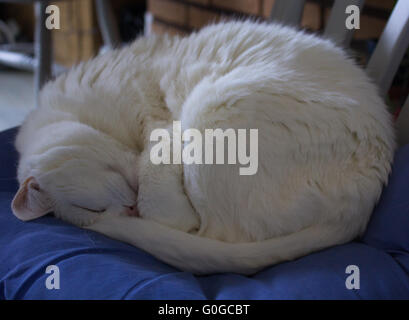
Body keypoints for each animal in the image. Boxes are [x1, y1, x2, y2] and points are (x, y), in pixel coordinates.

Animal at [9, 20, 394, 276]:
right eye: (94, 211)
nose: (129, 206)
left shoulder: (159, 129)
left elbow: (158, 188)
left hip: (210, 108)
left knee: (208, 232)